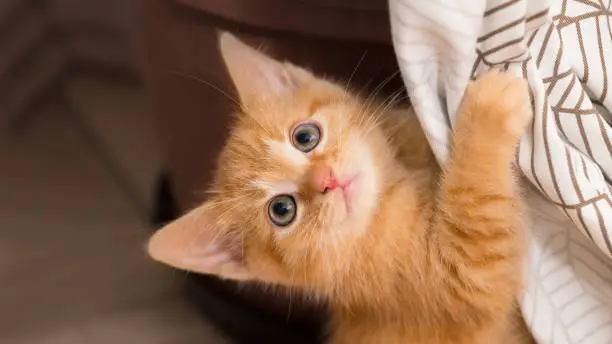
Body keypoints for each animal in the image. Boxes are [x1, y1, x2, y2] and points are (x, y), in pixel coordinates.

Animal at [146, 33, 532, 344]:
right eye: (282, 210)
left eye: (305, 136)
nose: (326, 180)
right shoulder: (461, 280)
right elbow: (474, 213)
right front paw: (490, 107)